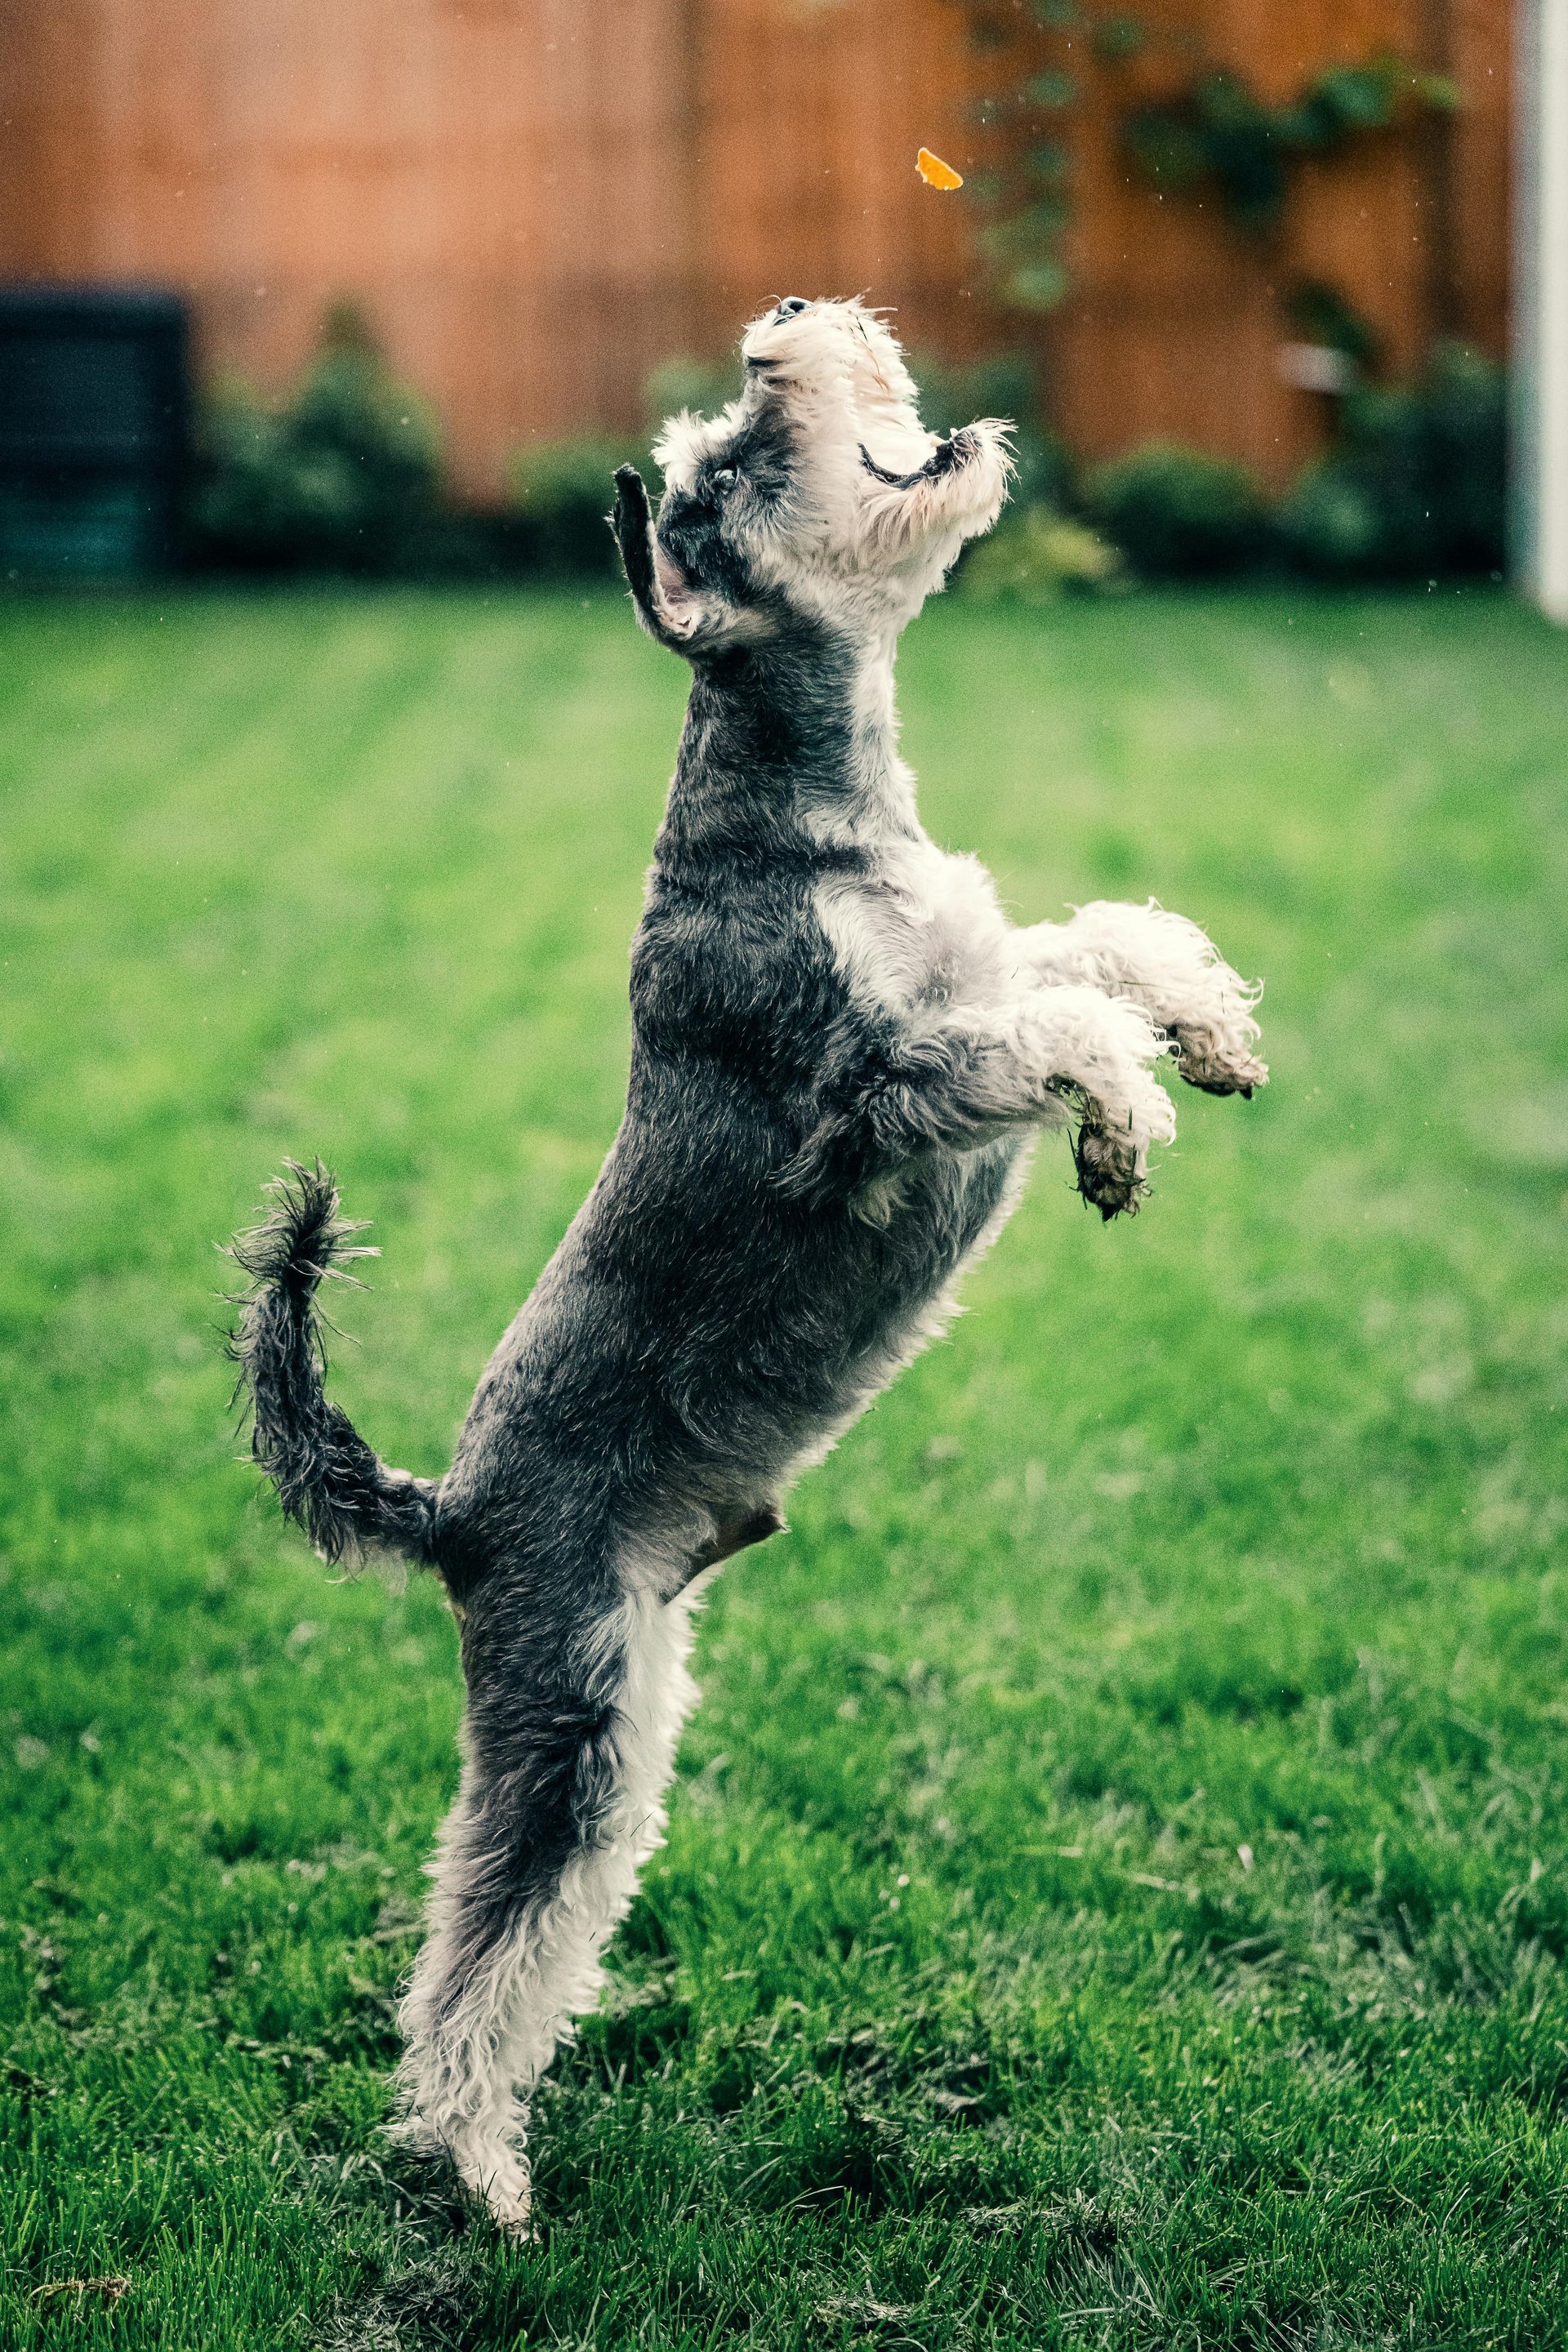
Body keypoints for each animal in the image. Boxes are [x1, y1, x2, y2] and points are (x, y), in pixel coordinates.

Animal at [226, 298, 1269, 2238]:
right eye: (727, 460)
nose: (790, 319)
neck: (810, 799)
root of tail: (445, 1512)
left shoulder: (969, 974)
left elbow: (1095, 943)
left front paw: (1214, 1035)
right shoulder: (870, 1091)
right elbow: (1053, 1027)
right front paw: (1123, 1123)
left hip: (626, 1707)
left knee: (518, 1950)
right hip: (570, 1719)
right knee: (473, 1962)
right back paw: (475, 2174)